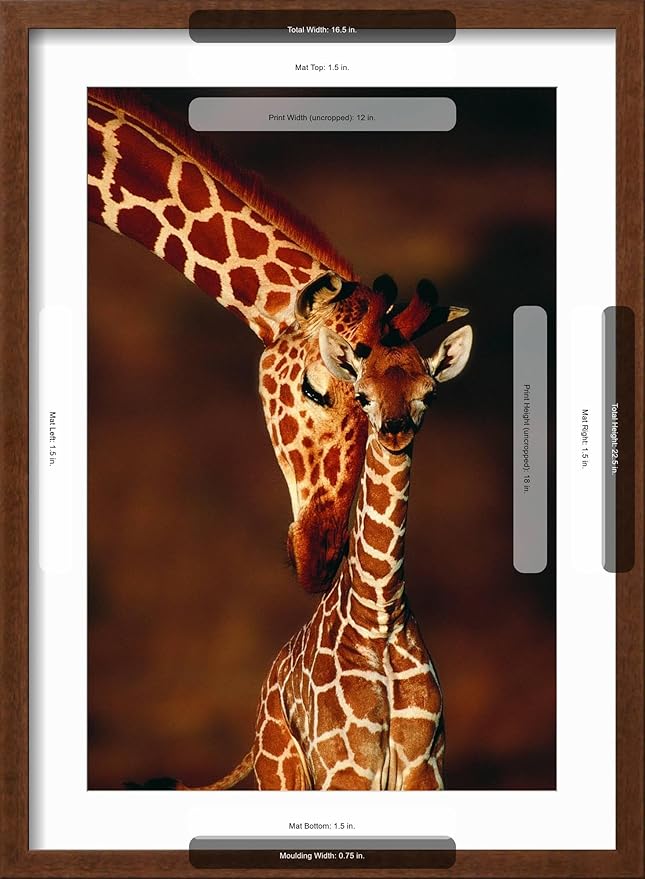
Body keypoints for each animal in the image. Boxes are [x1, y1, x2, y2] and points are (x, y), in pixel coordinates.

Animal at [170, 319, 472, 791]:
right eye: (363, 394)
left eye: (430, 393)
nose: (395, 429)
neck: (380, 615)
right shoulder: (346, 769)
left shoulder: (425, 767)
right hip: (282, 772)